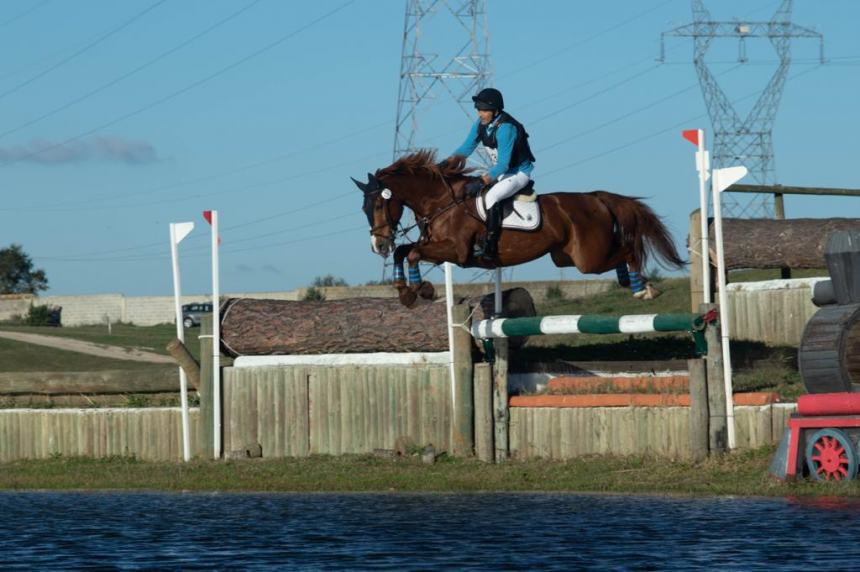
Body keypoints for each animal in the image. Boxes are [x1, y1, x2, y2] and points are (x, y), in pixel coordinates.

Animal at [352, 150, 684, 306]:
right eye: (364, 209)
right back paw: (629, 281)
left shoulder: (456, 252)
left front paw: (422, 289)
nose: (379, 245)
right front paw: (405, 293)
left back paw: (642, 289)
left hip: (588, 258)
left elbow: (411, 253)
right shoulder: (436, 247)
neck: (441, 202)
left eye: (379, 206)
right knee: (620, 251)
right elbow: (405, 252)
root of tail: (595, 197)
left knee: (628, 248)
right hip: (566, 257)